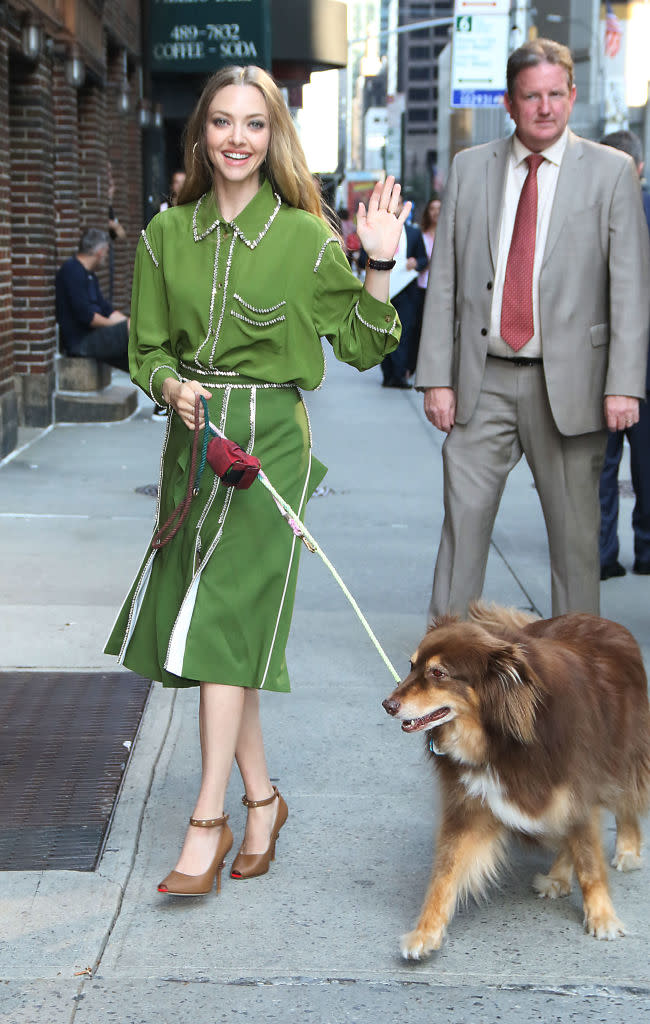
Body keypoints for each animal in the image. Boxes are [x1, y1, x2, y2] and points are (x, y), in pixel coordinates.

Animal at [384, 598, 646, 958]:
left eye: (438, 673)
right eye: (411, 666)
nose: (387, 704)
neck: (499, 737)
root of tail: (607, 622)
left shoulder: (576, 790)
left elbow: (590, 860)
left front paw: (603, 918)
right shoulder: (470, 806)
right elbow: (445, 874)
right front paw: (426, 932)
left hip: (624, 753)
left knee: (624, 801)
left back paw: (628, 849)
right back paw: (558, 876)